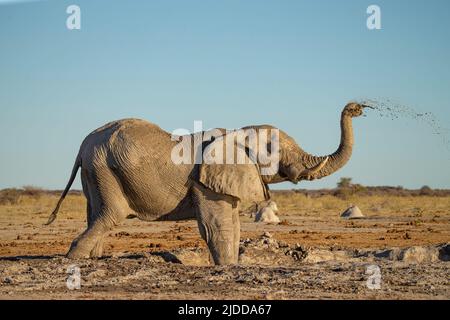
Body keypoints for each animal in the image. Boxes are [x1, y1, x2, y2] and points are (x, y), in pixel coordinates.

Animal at [45, 102, 368, 264]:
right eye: (275, 150)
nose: (355, 108)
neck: (238, 132)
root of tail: (83, 146)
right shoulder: (206, 182)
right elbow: (217, 226)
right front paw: (227, 267)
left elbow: (233, 224)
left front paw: (233, 265)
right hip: (105, 168)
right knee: (110, 215)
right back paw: (73, 259)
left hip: (95, 171)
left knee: (96, 215)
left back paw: (91, 260)